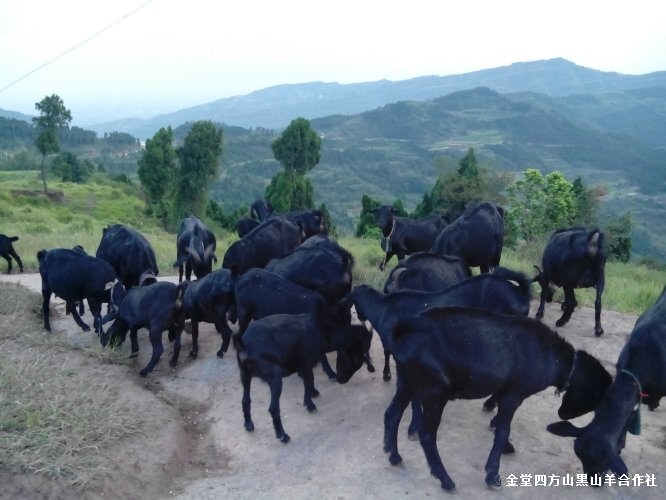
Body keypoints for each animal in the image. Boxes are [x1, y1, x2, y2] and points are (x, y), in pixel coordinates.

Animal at [386, 306, 608, 490]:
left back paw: (393, 455)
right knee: (427, 434)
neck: (556, 359)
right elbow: (503, 429)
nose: (563, 415)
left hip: (406, 380)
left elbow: (499, 418)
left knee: (392, 414)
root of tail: (405, 329)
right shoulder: (515, 393)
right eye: (595, 398)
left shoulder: (505, 388)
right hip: (435, 390)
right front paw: (493, 474)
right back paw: (445, 479)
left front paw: (505, 444)